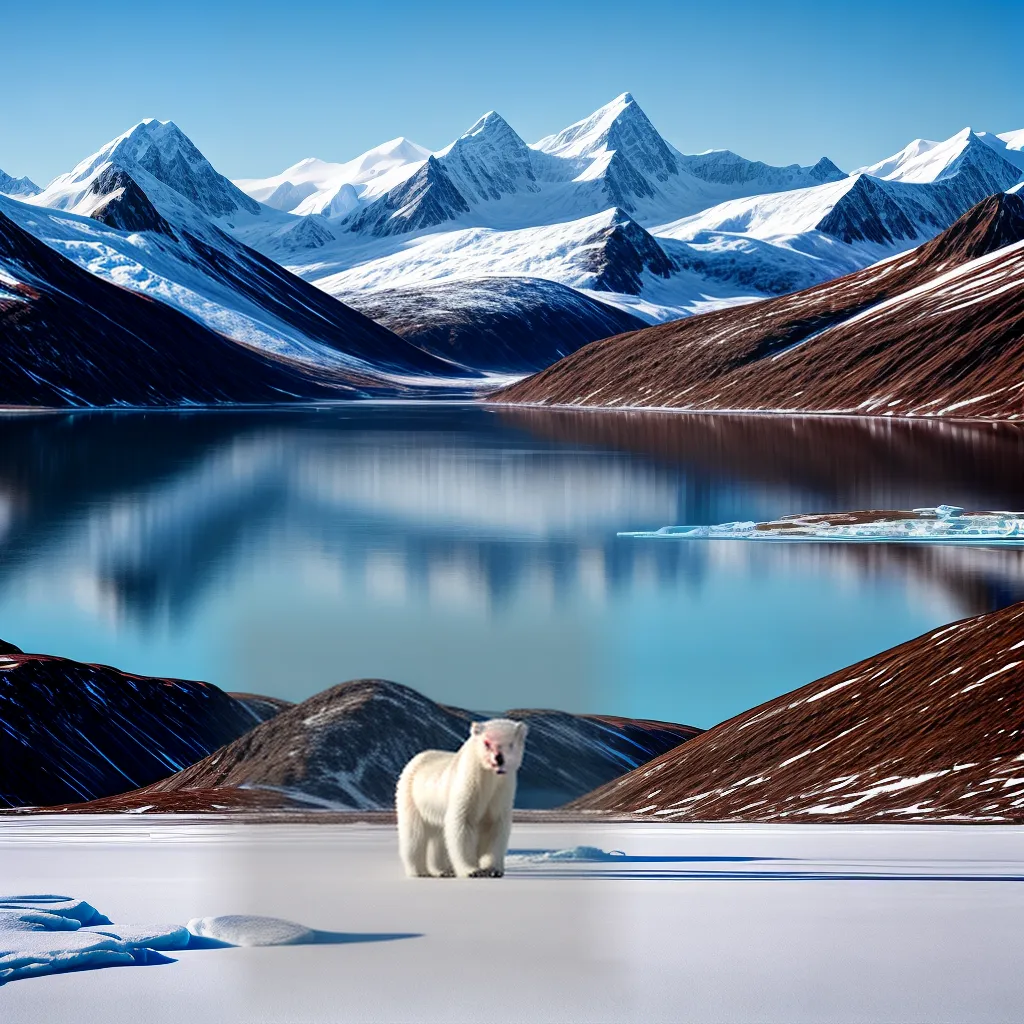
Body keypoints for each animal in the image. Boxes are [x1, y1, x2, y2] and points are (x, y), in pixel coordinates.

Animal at [396, 718, 528, 879]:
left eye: (511, 744)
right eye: (486, 742)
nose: (499, 758)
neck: (489, 777)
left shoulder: (501, 792)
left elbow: (495, 826)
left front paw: (493, 870)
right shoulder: (468, 786)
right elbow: (462, 822)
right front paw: (472, 870)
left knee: (438, 837)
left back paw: (444, 871)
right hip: (412, 797)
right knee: (415, 835)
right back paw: (420, 872)